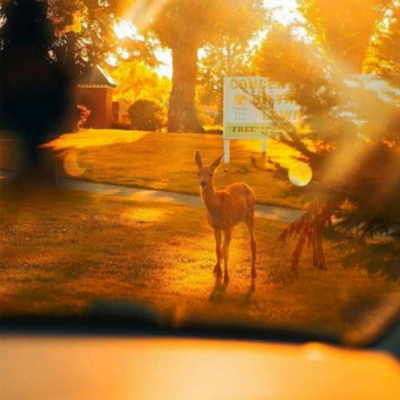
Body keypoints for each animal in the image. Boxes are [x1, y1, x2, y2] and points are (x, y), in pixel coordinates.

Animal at [195, 151, 258, 288]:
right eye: (198, 173)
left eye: (211, 173)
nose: (203, 183)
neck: (216, 207)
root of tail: (248, 186)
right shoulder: (216, 228)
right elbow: (218, 250)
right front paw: (218, 272)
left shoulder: (226, 226)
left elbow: (225, 252)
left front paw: (226, 278)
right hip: (233, 224)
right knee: (228, 243)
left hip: (250, 215)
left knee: (253, 242)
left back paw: (253, 272)